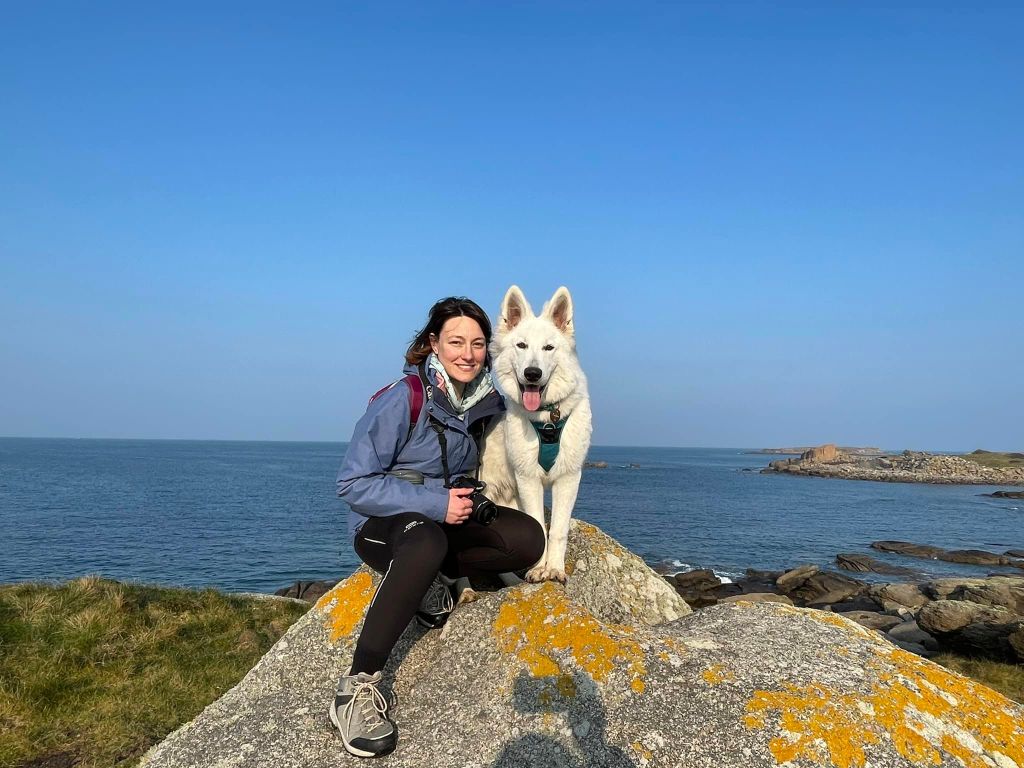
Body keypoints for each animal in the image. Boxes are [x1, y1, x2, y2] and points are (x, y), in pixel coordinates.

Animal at [479, 286, 593, 581]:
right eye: (521, 345)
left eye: (548, 348)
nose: (533, 373)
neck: (549, 418)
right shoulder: (527, 479)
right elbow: (539, 527)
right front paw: (539, 569)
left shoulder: (569, 477)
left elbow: (558, 530)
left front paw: (555, 568)